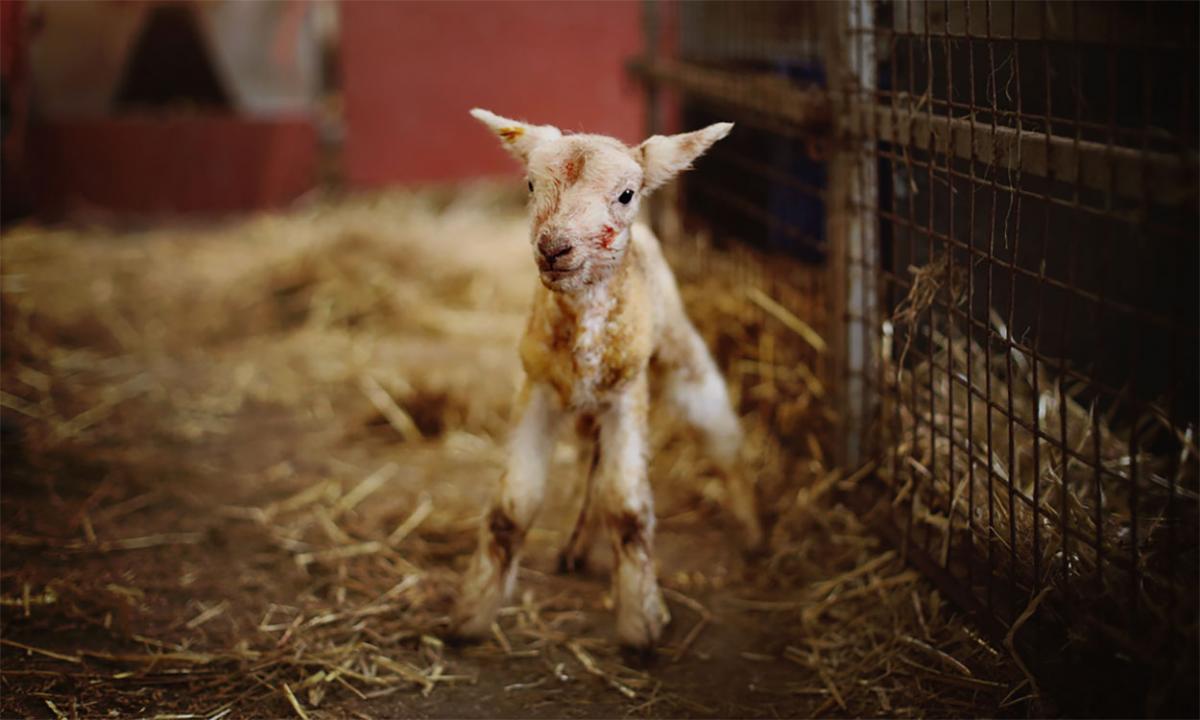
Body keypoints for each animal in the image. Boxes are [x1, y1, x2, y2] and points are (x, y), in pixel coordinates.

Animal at [453, 108, 761, 650]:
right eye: (530, 184)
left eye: (626, 194)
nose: (554, 247)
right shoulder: (536, 388)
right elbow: (513, 507)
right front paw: (471, 615)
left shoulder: (626, 396)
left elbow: (627, 508)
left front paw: (642, 623)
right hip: (583, 407)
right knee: (588, 464)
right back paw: (575, 547)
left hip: (679, 351)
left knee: (720, 434)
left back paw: (752, 534)